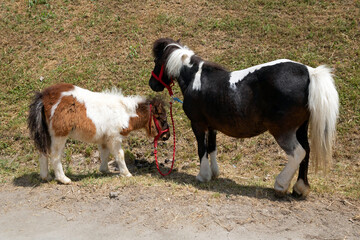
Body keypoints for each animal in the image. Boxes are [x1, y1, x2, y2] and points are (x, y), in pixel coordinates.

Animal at [28, 83, 170, 185]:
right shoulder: (114, 138)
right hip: (59, 136)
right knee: (55, 156)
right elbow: (120, 155)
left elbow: (104, 154)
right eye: (163, 119)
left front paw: (104, 170)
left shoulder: (105, 139)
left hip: (46, 135)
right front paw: (126, 173)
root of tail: (43, 96)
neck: (124, 112)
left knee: (42, 154)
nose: (167, 136)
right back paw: (63, 179)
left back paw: (46, 177)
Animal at [148, 38, 338, 198]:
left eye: (157, 61)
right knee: (307, 151)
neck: (195, 79)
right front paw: (214, 173)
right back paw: (300, 188)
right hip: (300, 128)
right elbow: (212, 148)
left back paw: (281, 185)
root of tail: (309, 72)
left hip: (282, 130)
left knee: (298, 152)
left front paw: (203, 175)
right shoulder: (212, 126)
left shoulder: (198, 124)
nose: (152, 84)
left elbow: (202, 149)